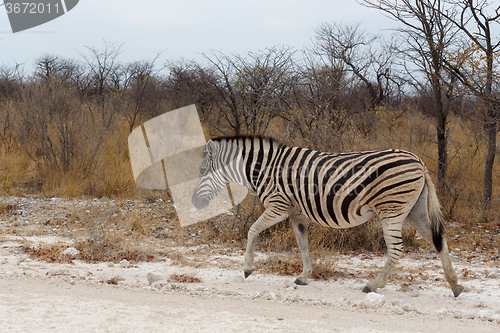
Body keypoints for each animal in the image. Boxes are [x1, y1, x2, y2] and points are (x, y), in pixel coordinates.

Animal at [191, 135, 464, 296]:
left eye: (202, 171)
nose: (194, 202)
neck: (266, 169)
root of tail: (418, 160)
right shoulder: (296, 213)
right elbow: (302, 244)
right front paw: (304, 276)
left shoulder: (279, 206)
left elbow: (253, 230)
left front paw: (248, 268)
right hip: (414, 211)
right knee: (439, 240)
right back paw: (455, 284)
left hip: (392, 209)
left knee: (397, 249)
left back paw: (373, 285)